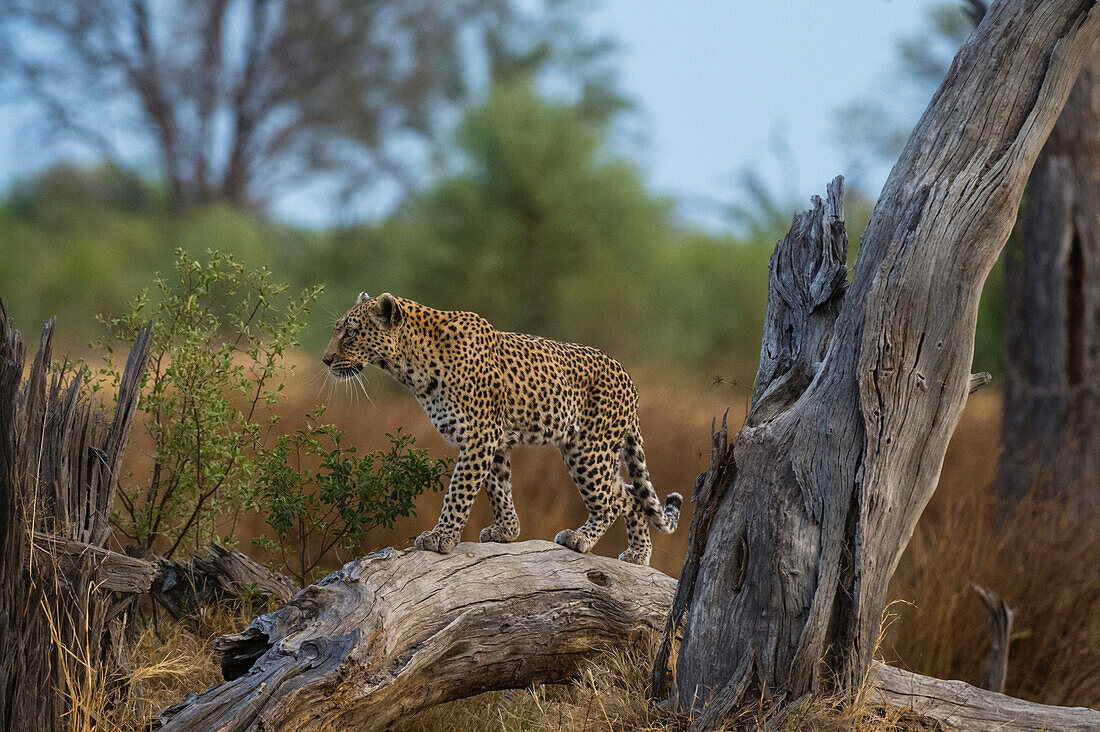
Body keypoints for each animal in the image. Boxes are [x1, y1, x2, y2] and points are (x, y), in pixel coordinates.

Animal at [321, 290, 677, 563]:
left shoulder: (480, 435)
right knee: (631, 495)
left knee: (612, 502)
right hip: (600, 452)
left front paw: (441, 537)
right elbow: (498, 487)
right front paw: (506, 531)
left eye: (350, 332)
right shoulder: (494, 440)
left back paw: (581, 538)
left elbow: (459, 491)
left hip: (588, 450)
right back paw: (638, 555)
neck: (411, 366)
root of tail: (629, 379)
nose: (325, 360)